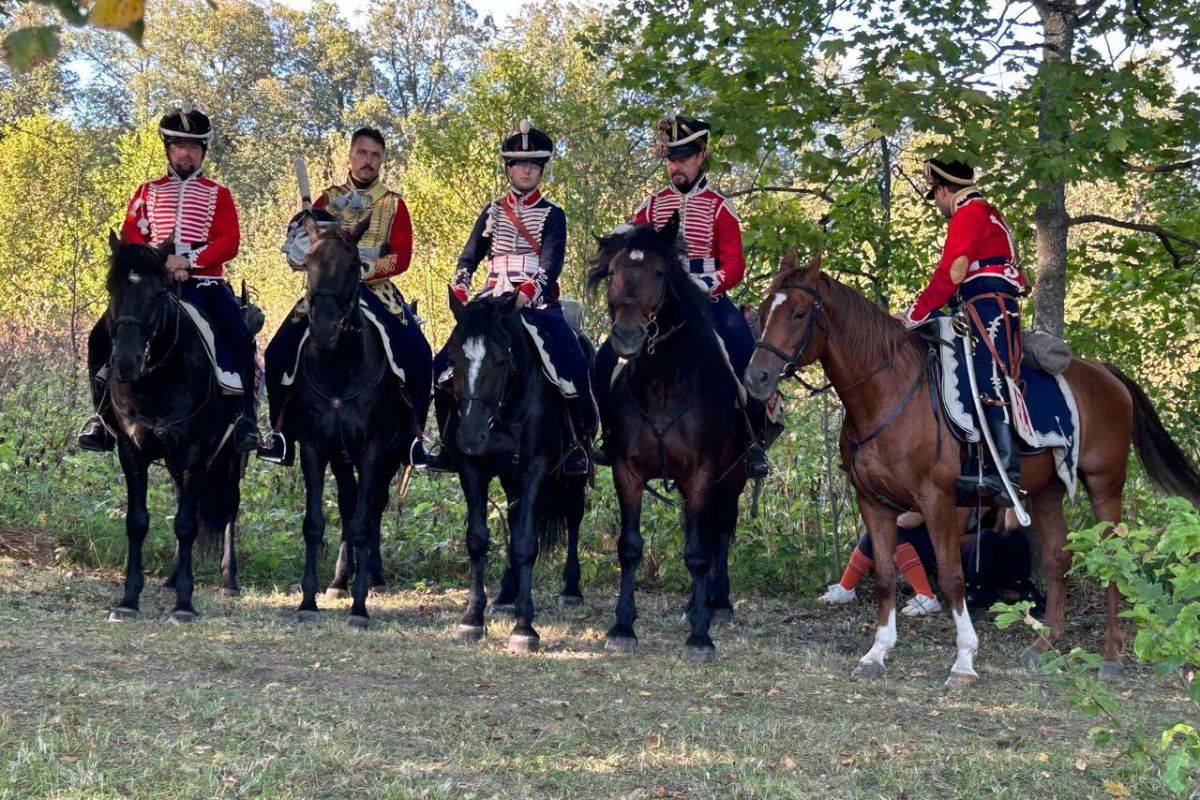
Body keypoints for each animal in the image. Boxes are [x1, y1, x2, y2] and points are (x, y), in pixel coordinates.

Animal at [103, 235, 243, 623]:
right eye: (111, 289)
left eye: (157, 295)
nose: (126, 363)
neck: (158, 381)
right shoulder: (131, 451)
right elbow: (138, 521)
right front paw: (129, 599)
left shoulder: (195, 451)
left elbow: (186, 524)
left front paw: (184, 603)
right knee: (185, 500)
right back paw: (169, 578)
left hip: (231, 454)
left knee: (230, 507)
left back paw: (230, 580)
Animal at [286, 215, 422, 628]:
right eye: (309, 264)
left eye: (351, 266)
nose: (324, 332)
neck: (339, 371)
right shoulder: (315, 448)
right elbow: (316, 522)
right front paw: (308, 600)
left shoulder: (375, 451)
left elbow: (364, 521)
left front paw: (360, 607)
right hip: (341, 458)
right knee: (349, 504)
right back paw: (338, 580)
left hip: (389, 456)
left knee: (372, 508)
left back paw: (373, 578)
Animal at [441, 291, 590, 652]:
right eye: (453, 356)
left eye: (499, 358)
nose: (471, 436)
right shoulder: (471, 468)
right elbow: (478, 538)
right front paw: (471, 619)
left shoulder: (536, 467)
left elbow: (525, 541)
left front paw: (524, 628)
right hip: (510, 476)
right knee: (512, 513)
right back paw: (506, 594)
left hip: (573, 475)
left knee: (574, 515)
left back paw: (570, 589)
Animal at [588, 215, 748, 666]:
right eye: (612, 273)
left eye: (660, 273)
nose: (627, 336)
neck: (662, 383)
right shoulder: (627, 470)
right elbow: (629, 546)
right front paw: (622, 627)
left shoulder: (703, 472)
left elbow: (697, 551)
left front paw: (700, 637)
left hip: (735, 473)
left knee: (721, 530)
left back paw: (717, 604)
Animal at [744, 253, 1200, 686]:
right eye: (765, 308)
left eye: (800, 313)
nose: (756, 378)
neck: (887, 393)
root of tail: (1105, 373)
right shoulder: (874, 502)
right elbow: (886, 576)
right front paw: (877, 654)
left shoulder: (937, 502)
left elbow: (952, 578)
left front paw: (964, 660)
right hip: (1047, 492)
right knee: (1057, 559)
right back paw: (1043, 644)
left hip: (1105, 484)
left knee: (1112, 560)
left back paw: (1111, 657)